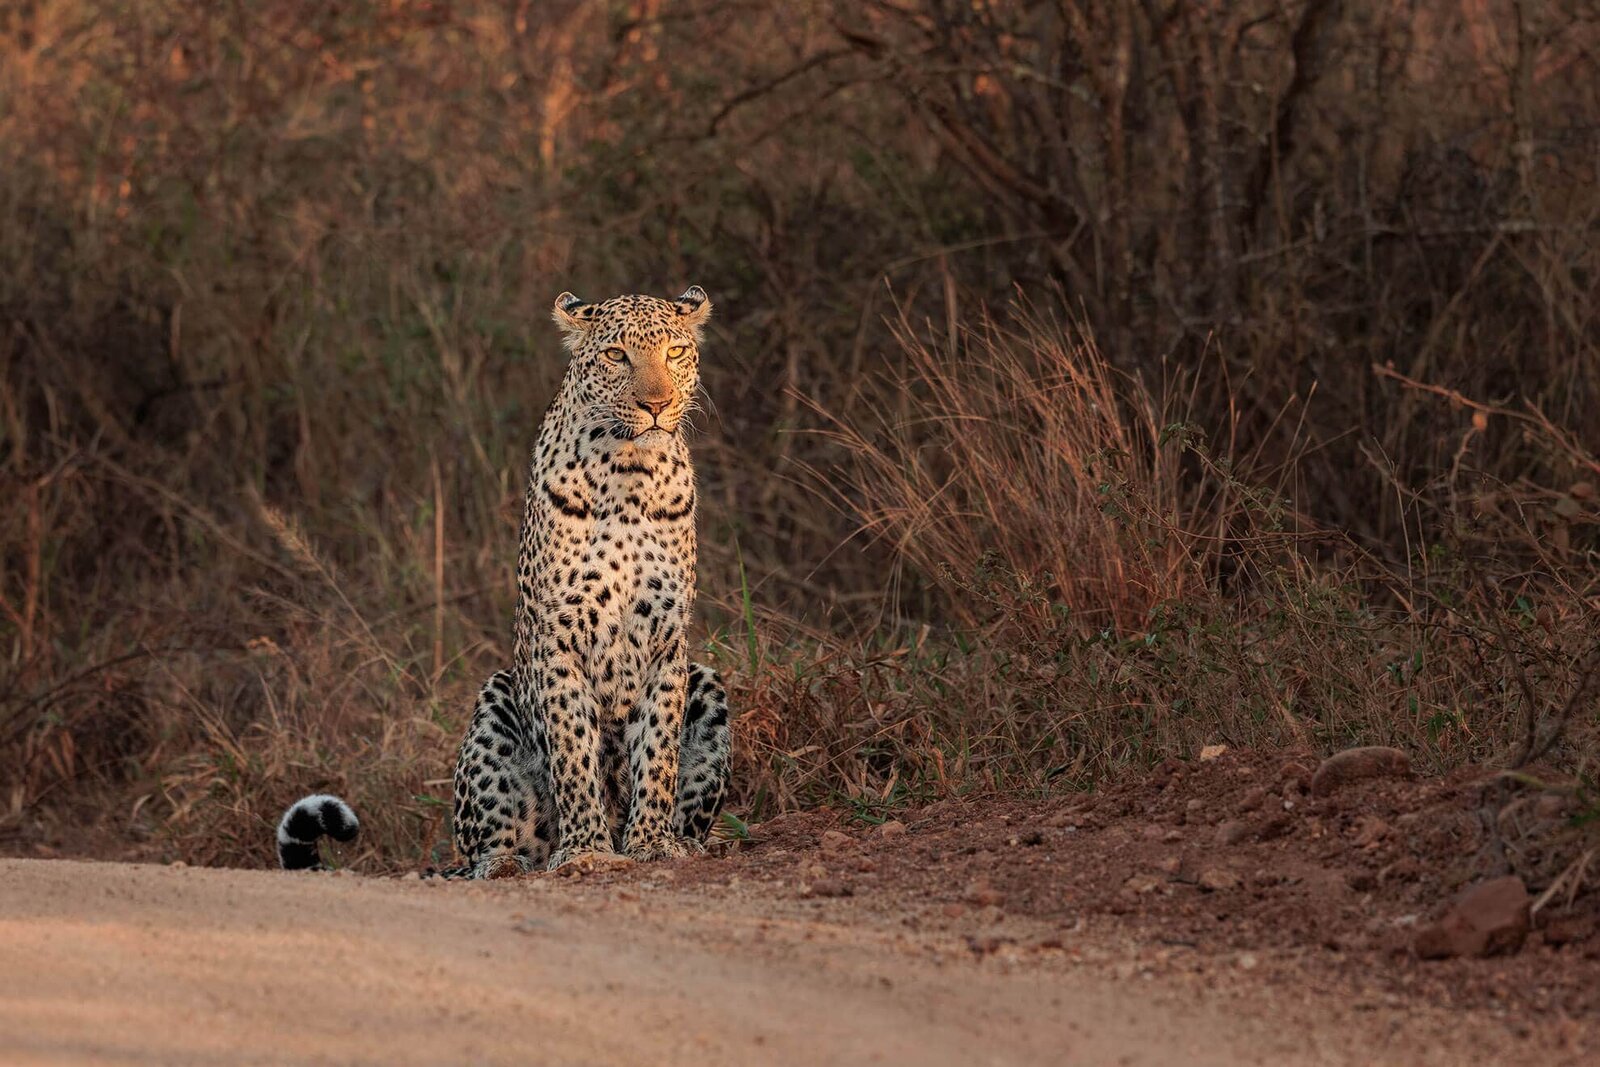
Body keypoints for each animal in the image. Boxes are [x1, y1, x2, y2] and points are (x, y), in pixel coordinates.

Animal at [276, 286, 731, 877]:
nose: (656, 405)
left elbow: (657, 753)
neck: (631, 475)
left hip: (707, 684)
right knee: (490, 847)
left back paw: (688, 842)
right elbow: (572, 751)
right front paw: (587, 849)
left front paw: (652, 842)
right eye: (616, 356)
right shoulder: (558, 638)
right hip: (494, 703)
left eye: (674, 352)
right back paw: (512, 862)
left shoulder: (667, 642)